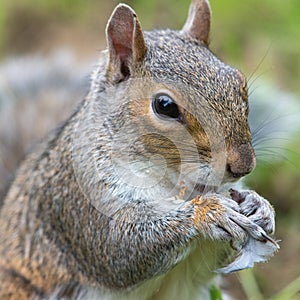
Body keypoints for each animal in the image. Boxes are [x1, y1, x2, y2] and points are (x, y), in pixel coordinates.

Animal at [0, 0, 278, 300]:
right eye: (165, 106)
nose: (243, 165)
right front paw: (208, 213)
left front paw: (260, 206)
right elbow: (120, 250)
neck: (171, 180)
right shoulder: (77, 198)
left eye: (239, 83)